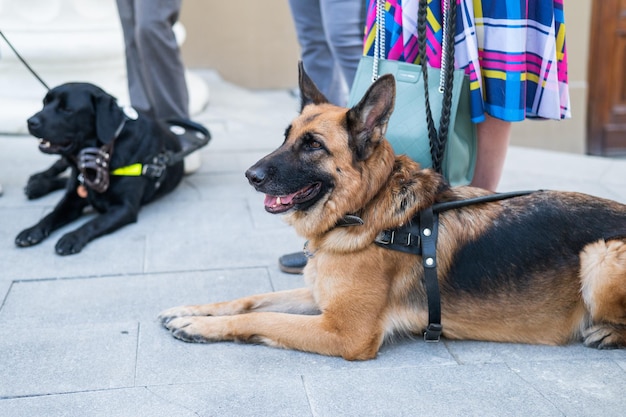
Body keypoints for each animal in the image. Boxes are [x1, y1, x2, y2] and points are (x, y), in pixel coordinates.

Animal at [15, 82, 207, 254]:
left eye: (67, 109)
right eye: (44, 103)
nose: (30, 121)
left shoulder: (124, 208)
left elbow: (94, 222)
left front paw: (72, 237)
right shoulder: (72, 200)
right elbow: (52, 214)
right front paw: (32, 230)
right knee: (60, 168)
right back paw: (38, 182)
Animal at [157, 64, 624, 358]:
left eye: (313, 145)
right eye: (286, 137)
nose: (250, 176)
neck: (364, 211)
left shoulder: (344, 332)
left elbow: (265, 319)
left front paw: (199, 328)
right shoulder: (318, 298)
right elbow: (252, 300)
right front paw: (192, 311)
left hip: (600, 254)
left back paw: (605, 332)